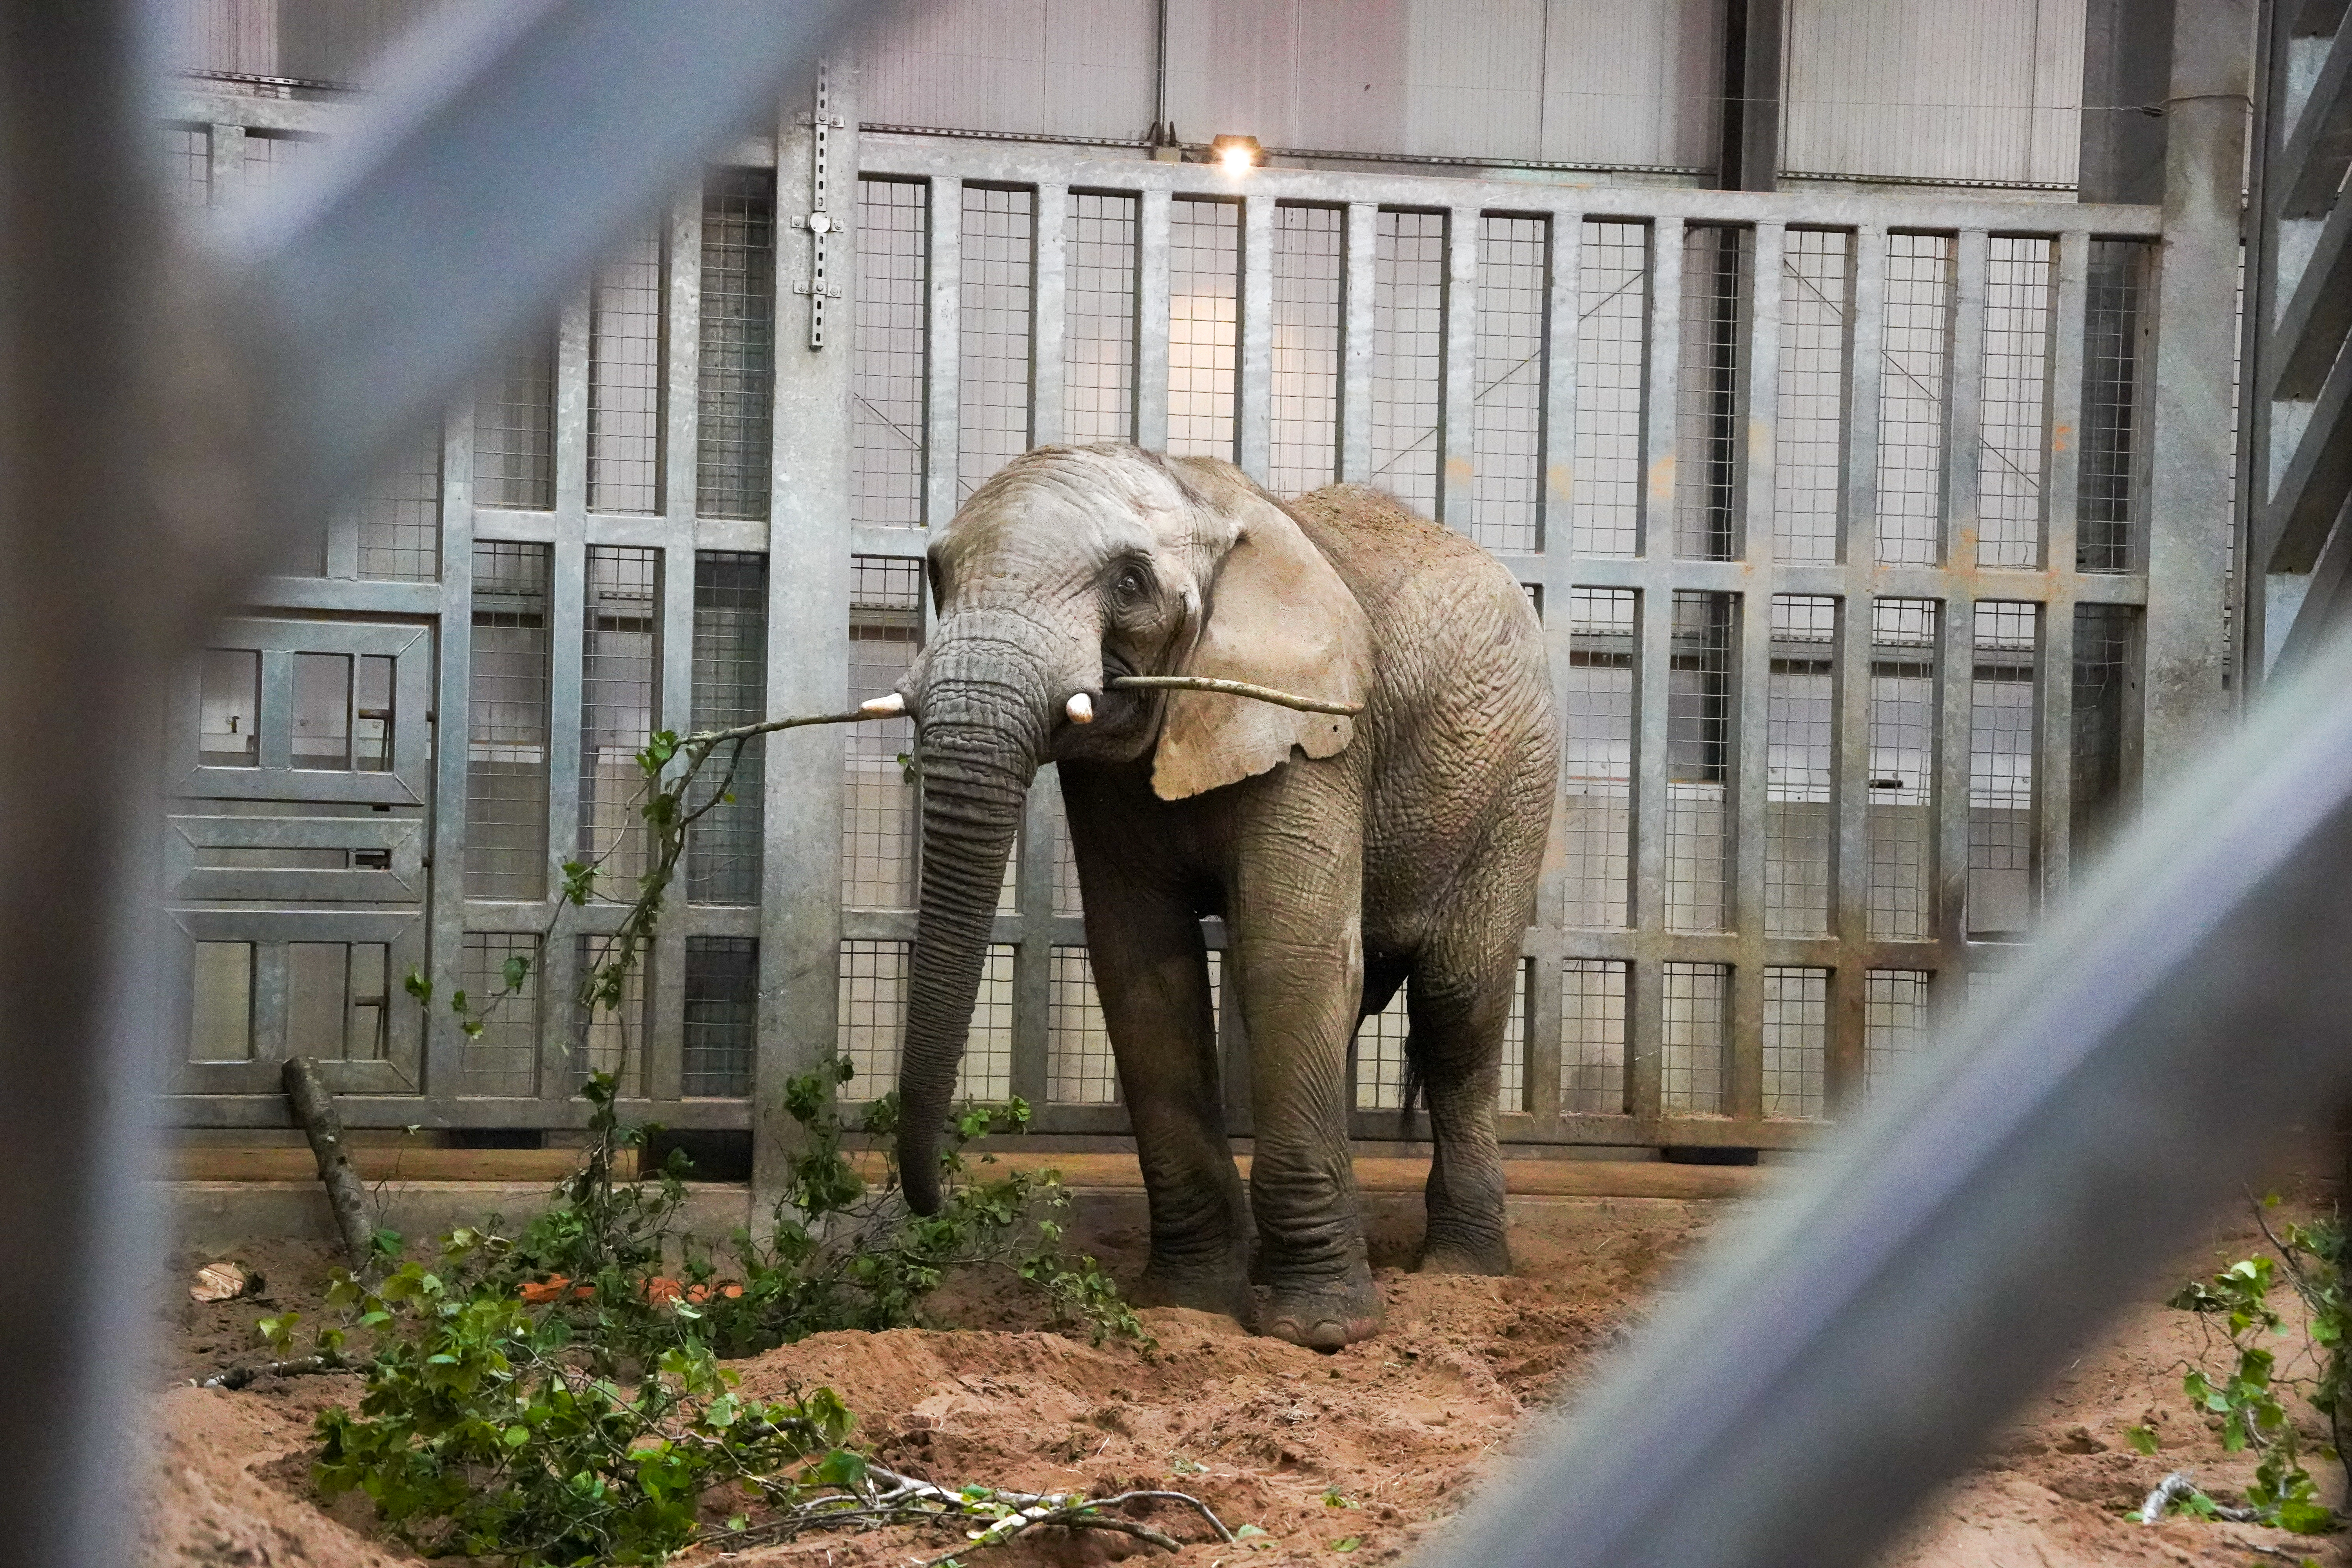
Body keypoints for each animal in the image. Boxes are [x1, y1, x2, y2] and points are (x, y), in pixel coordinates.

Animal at [889, 444, 1558, 1350]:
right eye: (936, 573)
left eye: (1130, 582)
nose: (933, 1202)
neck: (1196, 488)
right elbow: (1144, 972)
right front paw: (1189, 1306)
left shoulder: (1316, 723)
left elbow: (1289, 958)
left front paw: (1320, 1332)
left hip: (1518, 771)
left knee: (1460, 1003)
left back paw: (1461, 1274)